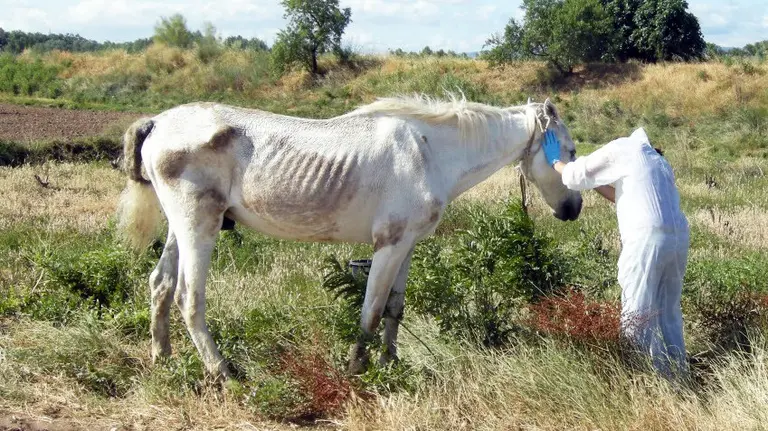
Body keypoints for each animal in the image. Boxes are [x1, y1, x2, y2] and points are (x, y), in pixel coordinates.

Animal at [116, 93, 583, 379]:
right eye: (572, 151)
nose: (573, 209)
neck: (430, 152)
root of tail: (158, 122)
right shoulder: (388, 246)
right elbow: (371, 311)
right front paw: (358, 368)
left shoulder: (407, 247)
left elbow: (394, 309)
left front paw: (390, 362)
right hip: (199, 227)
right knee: (188, 298)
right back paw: (224, 373)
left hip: (180, 228)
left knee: (160, 285)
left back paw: (163, 360)